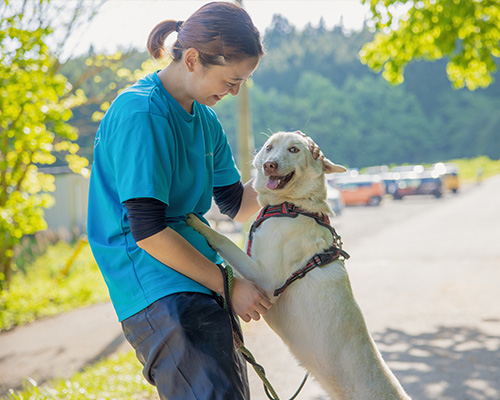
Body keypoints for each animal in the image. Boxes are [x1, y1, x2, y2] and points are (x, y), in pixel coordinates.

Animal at [187, 131, 410, 400]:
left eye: (294, 149)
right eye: (269, 148)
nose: (268, 165)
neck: (295, 206)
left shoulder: (264, 278)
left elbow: (223, 240)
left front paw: (197, 223)